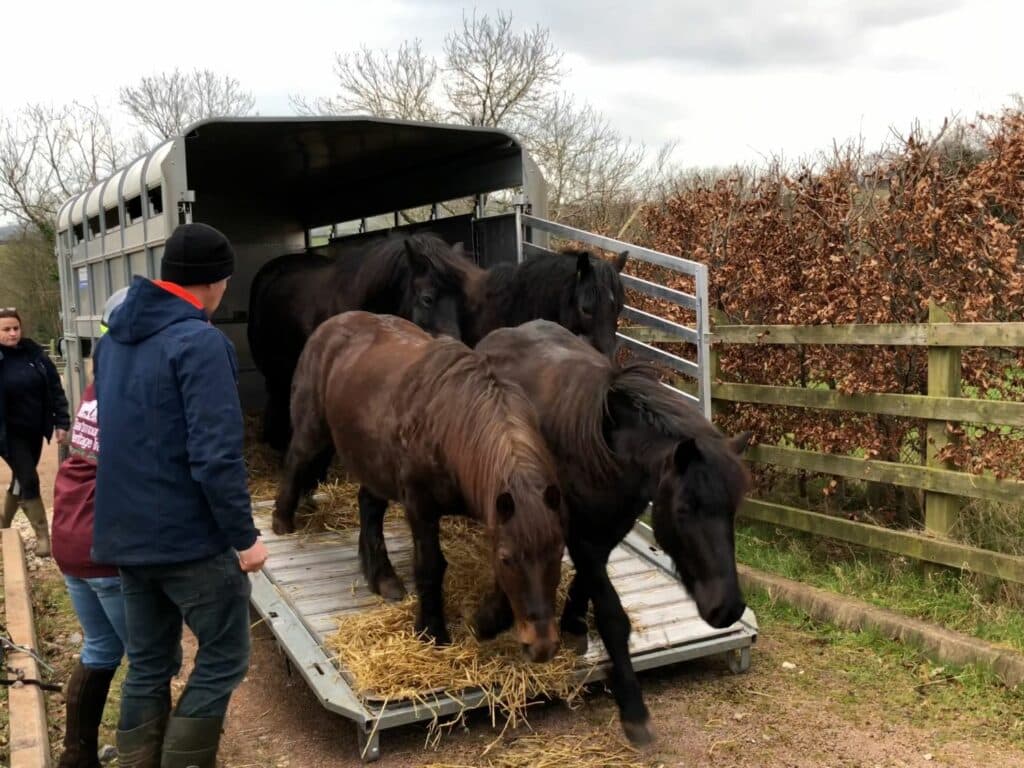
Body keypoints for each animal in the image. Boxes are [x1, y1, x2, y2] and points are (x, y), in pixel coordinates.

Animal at [272, 311, 569, 663]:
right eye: (509, 559)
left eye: (558, 552)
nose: (542, 647)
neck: (453, 428)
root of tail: (332, 324)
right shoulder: (421, 506)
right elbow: (430, 567)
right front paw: (432, 631)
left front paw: (486, 622)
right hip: (313, 429)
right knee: (296, 461)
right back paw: (282, 521)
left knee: (369, 507)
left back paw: (382, 577)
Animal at [473, 319, 753, 745]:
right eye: (685, 509)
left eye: (733, 509)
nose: (728, 608)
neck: (606, 451)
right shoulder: (580, 536)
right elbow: (612, 616)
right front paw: (634, 711)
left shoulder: (606, 531)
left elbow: (588, 583)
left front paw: (573, 622)